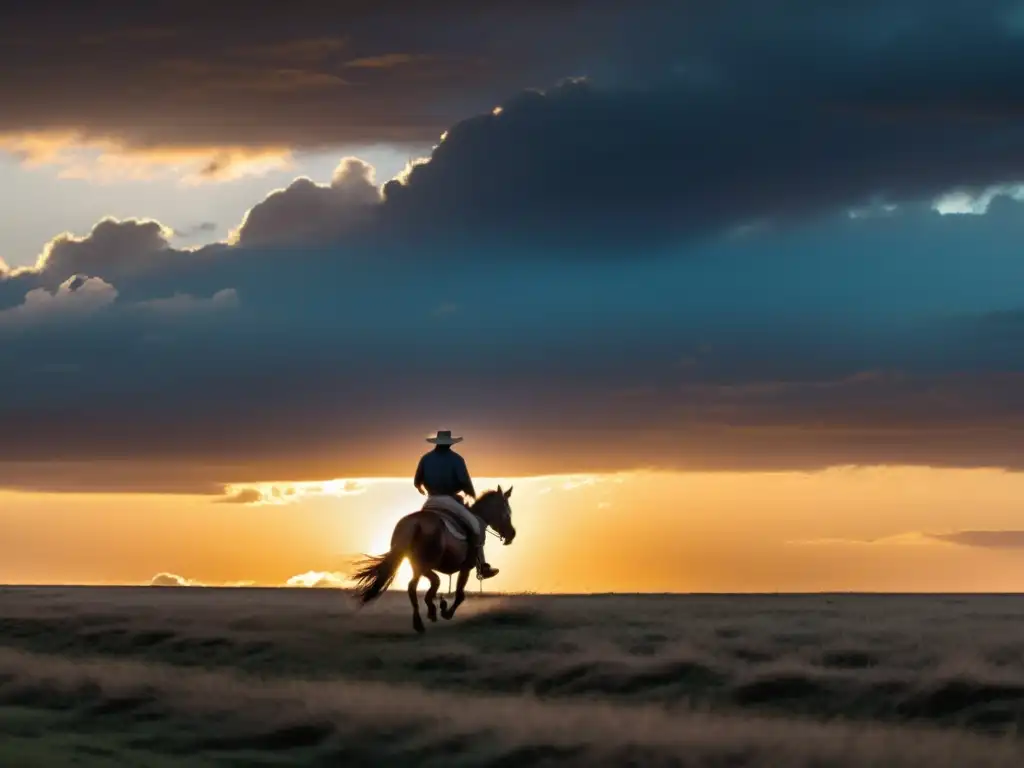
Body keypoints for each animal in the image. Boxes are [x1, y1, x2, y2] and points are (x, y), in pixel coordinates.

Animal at [352, 489, 516, 634]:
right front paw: (446, 612)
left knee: (414, 586)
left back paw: (421, 620)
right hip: (424, 564)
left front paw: (440, 606)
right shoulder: (466, 567)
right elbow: (460, 594)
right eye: (507, 513)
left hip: (414, 563)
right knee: (431, 581)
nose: (512, 534)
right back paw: (430, 611)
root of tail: (414, 523)